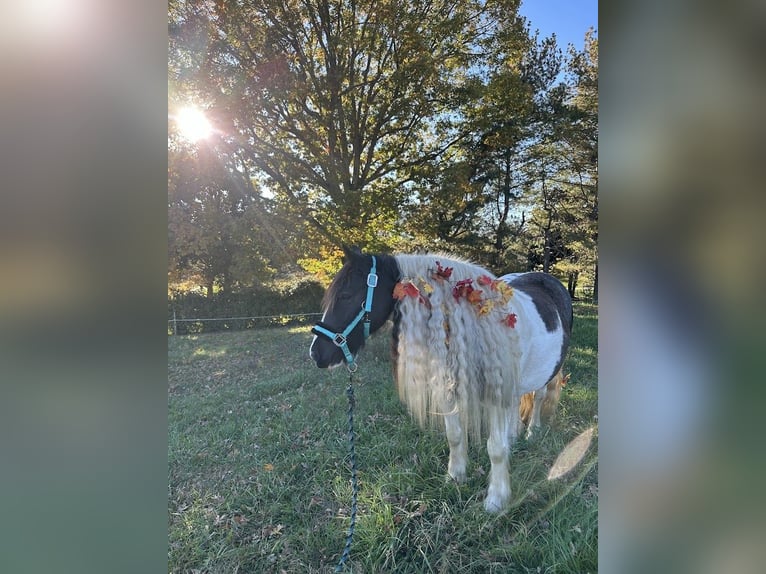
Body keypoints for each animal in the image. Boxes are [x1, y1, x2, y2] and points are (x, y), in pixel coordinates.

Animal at [309, 246, 573, 512]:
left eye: (346, 295)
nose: (316, 354)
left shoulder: (494, 396)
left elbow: (496, 449)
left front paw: (496, 500)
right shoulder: (450, 389)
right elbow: (454, 436)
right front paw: (455, 477)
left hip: (547, 372)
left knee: (538, 397)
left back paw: (531, 432)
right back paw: (514, 433)